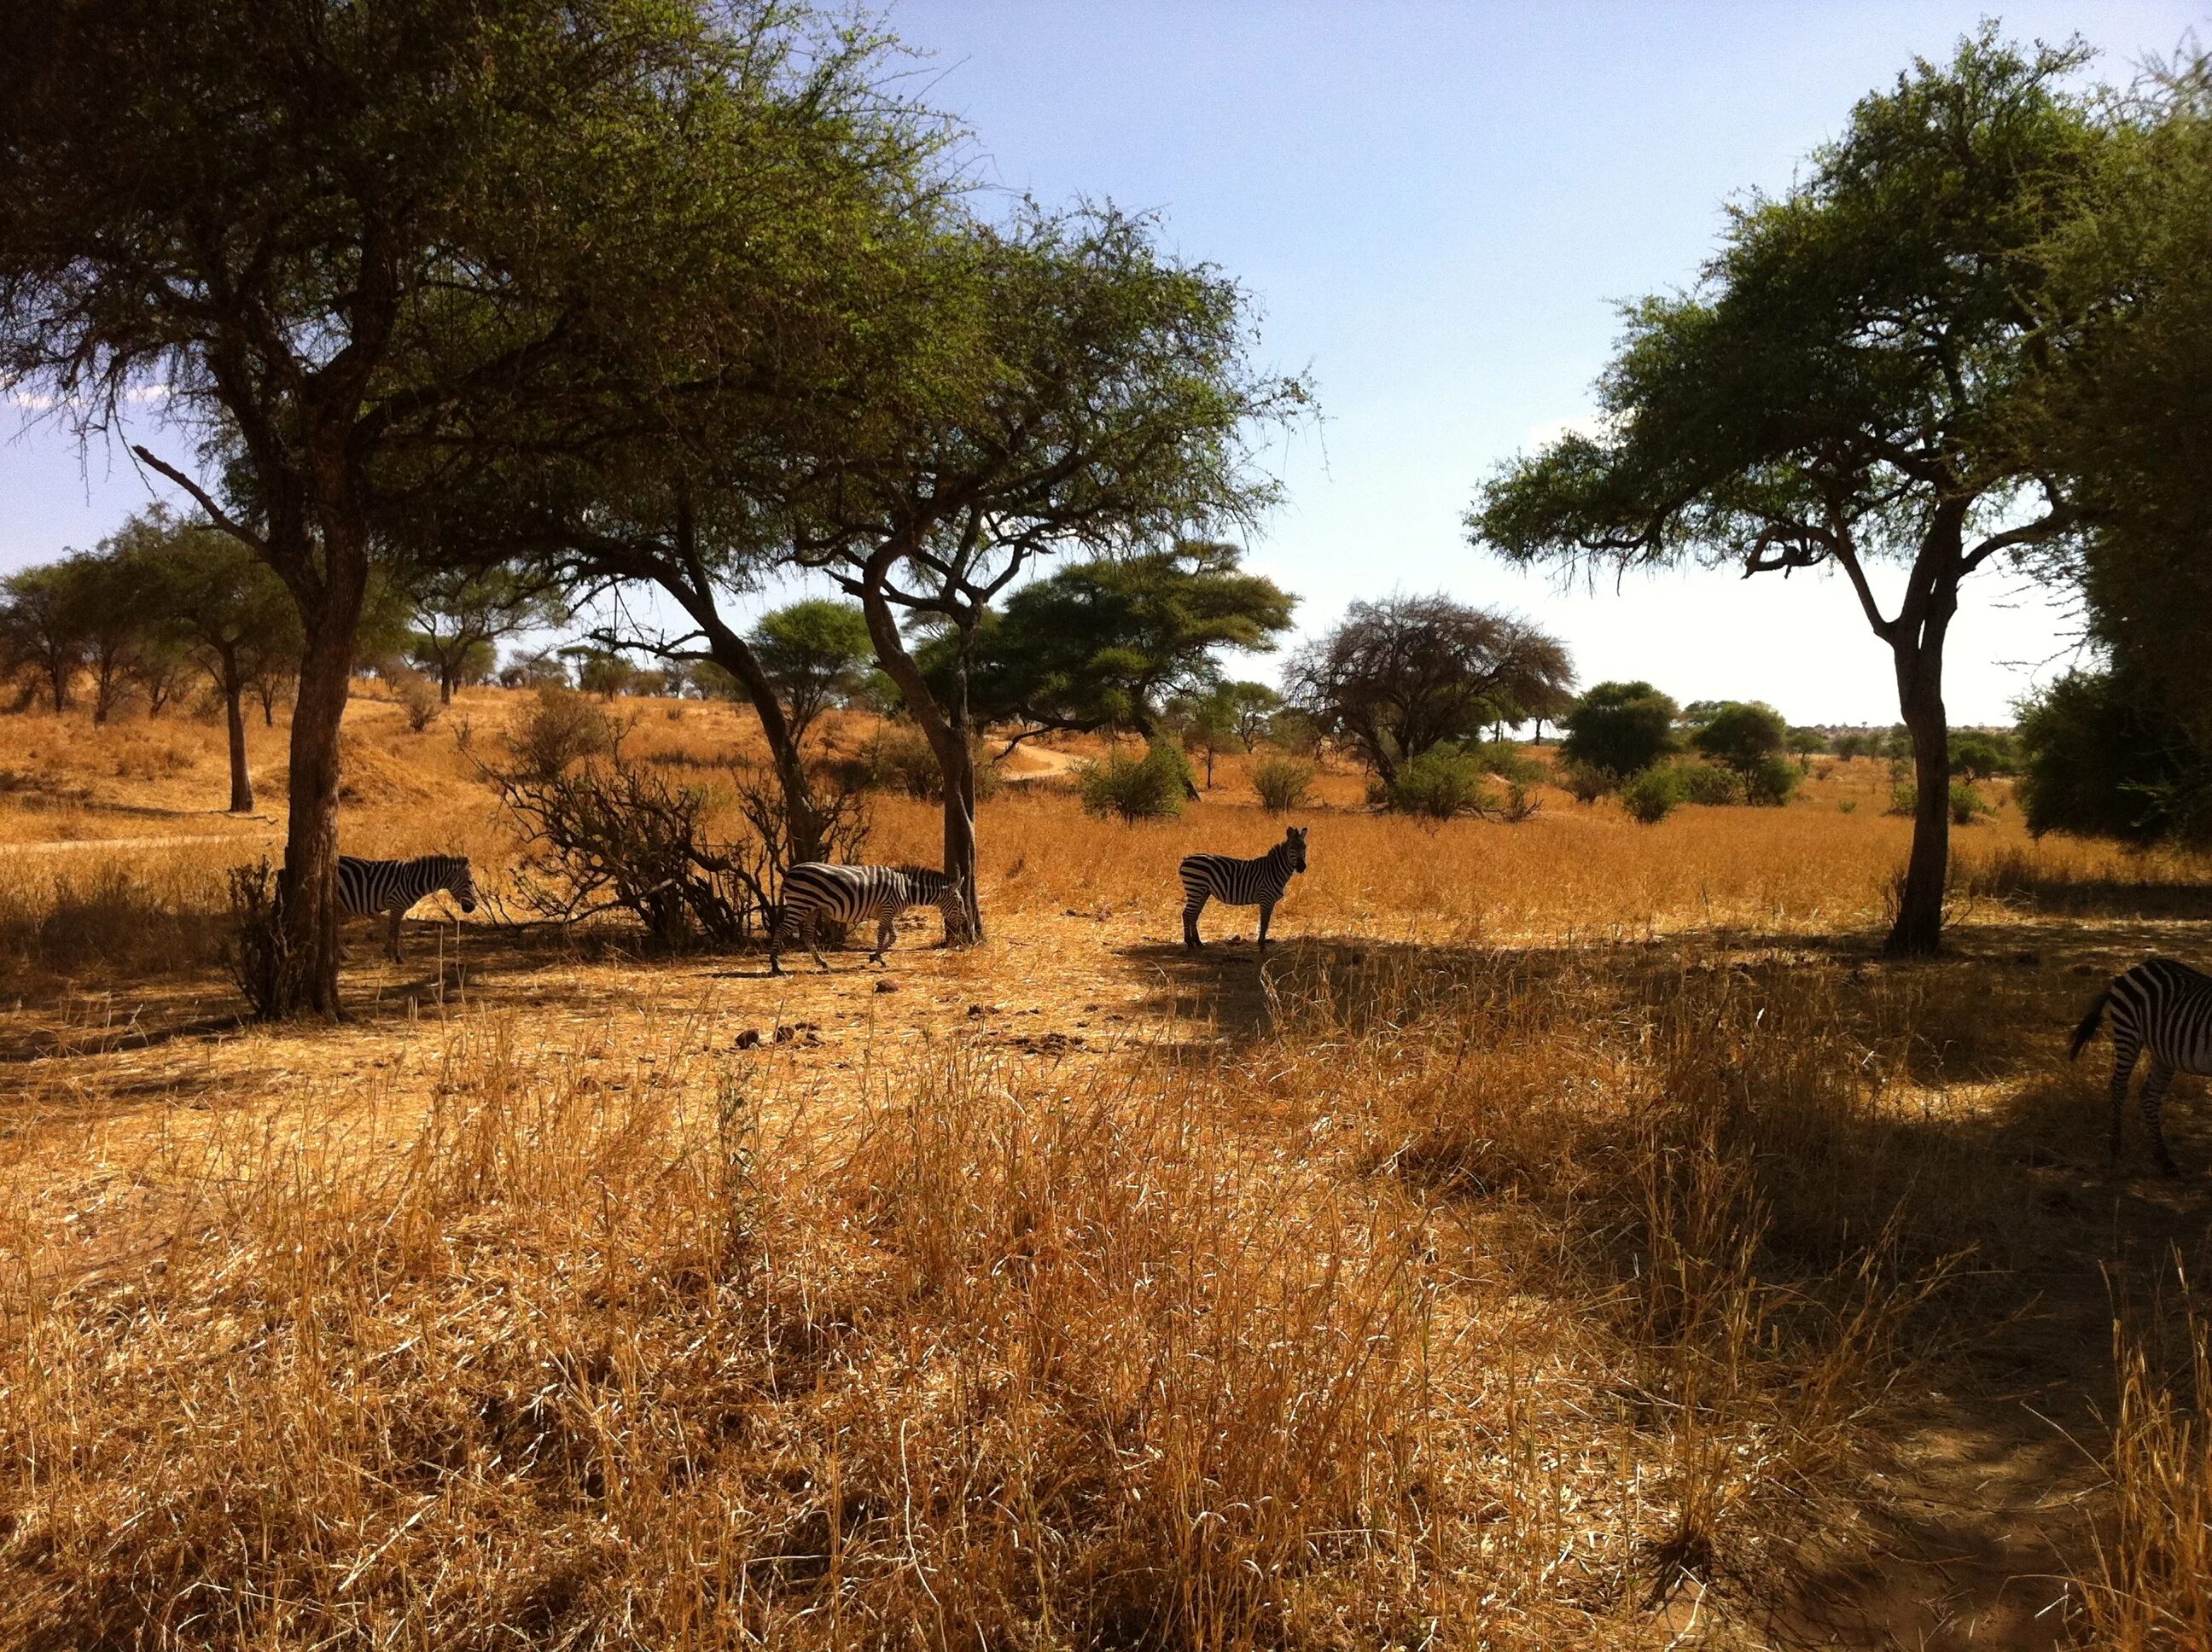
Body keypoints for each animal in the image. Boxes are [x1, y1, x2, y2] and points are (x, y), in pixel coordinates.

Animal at [335, 853, 480, 969]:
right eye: (470, 882)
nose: (472, 907)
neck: (412, 881)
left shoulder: (399, 908)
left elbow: (394, 931)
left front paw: (389, 954)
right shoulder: (395, 905)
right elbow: (394, 932)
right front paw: (395, 957)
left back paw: (344, 954)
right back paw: (344, 954)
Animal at [770, 858, 969, 977]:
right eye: (960, 903)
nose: (966, 923)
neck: (906, 889)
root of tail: (790, 872)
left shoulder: (887, 911)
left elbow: (893, 936)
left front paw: (876, 956)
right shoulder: (888, 908)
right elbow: (882, 935)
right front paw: (878, 957)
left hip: (811, 908)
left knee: (807, 935)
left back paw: (822, 962)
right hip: (800, 904)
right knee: (780, 930)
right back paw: (775, 965)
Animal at [1185, 823, 1301, 951]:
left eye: (1305, 848)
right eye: (1292, 848)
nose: (1302, 867)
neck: (1273, 871)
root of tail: (1185, 859)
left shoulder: (1270, 901)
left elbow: (1266, 923)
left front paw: (1262, 945)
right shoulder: (1266, 898)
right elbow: (1264, 923)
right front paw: (1262, 946)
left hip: (1203, 891)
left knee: (1194, 914)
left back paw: (1198, 942)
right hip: (1195, 888)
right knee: (1187, 914)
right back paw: (1189, 943)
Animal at [2070, 955, 2212, 1176]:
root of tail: (2137, 968)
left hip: (2164, 1053)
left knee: (2150, 1094)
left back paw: (2164, 1159)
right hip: (2128, 1034)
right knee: (2119, 1086)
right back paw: (2115, 1148)